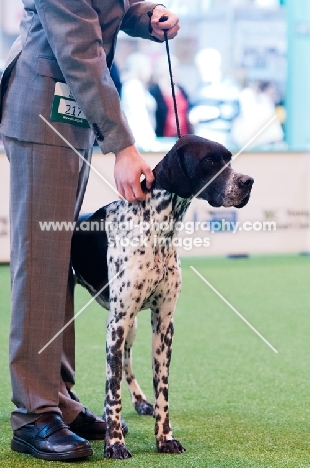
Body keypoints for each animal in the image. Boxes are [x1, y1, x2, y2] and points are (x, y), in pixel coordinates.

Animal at [71, 133, 254, 458]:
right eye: (210, 161)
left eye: (229, 159)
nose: (248, 182)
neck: (157, 230)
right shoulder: (117, 323)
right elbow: (112, 390)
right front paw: (115, 443)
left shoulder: (163, 324)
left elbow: (162, 391)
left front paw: (164, 438)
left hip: (131, 326)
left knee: (127, 366)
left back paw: (139, 402)